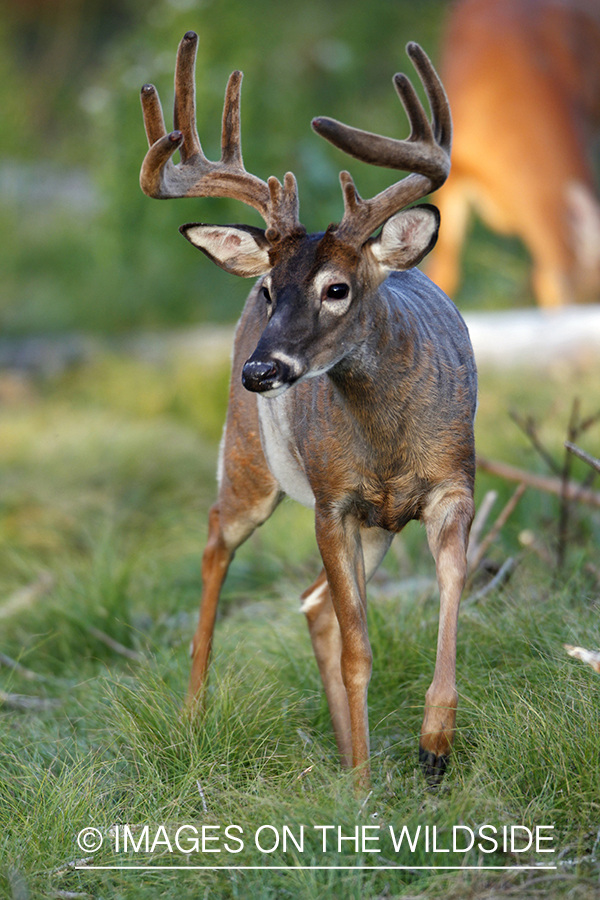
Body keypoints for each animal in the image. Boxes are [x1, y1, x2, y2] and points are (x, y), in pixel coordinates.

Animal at [138, 31, 476, 784]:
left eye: (337, 288)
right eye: (270, 288)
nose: (260, 370)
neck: (387, 444)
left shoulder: (453, 485)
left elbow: (450, 595)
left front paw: (433, 746)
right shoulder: (332, 501)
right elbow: (360, 649)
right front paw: (367, 786)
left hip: (378, 526)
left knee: (315, 605)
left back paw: (348, 753)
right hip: (249, 461)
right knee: (216, 541)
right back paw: (193, 716)